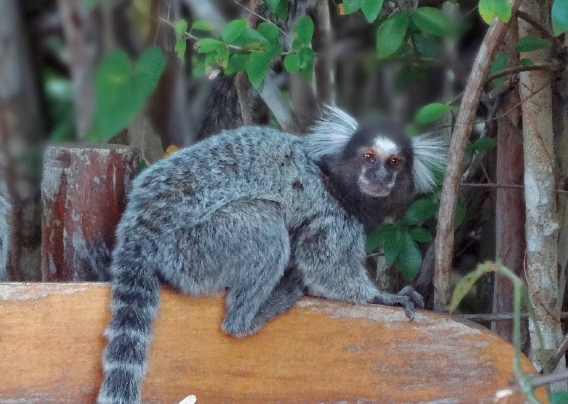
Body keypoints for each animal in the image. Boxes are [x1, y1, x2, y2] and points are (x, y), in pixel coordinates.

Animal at [95, 107, 446, 404]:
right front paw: (383, 297)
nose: (380, 177)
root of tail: (140, 229)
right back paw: (251, 316)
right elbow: (323, 266)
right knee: (267, 224)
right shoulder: (332, 217)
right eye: (369, 157)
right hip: (192, 251)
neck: (334, 181)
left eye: (394, 162)